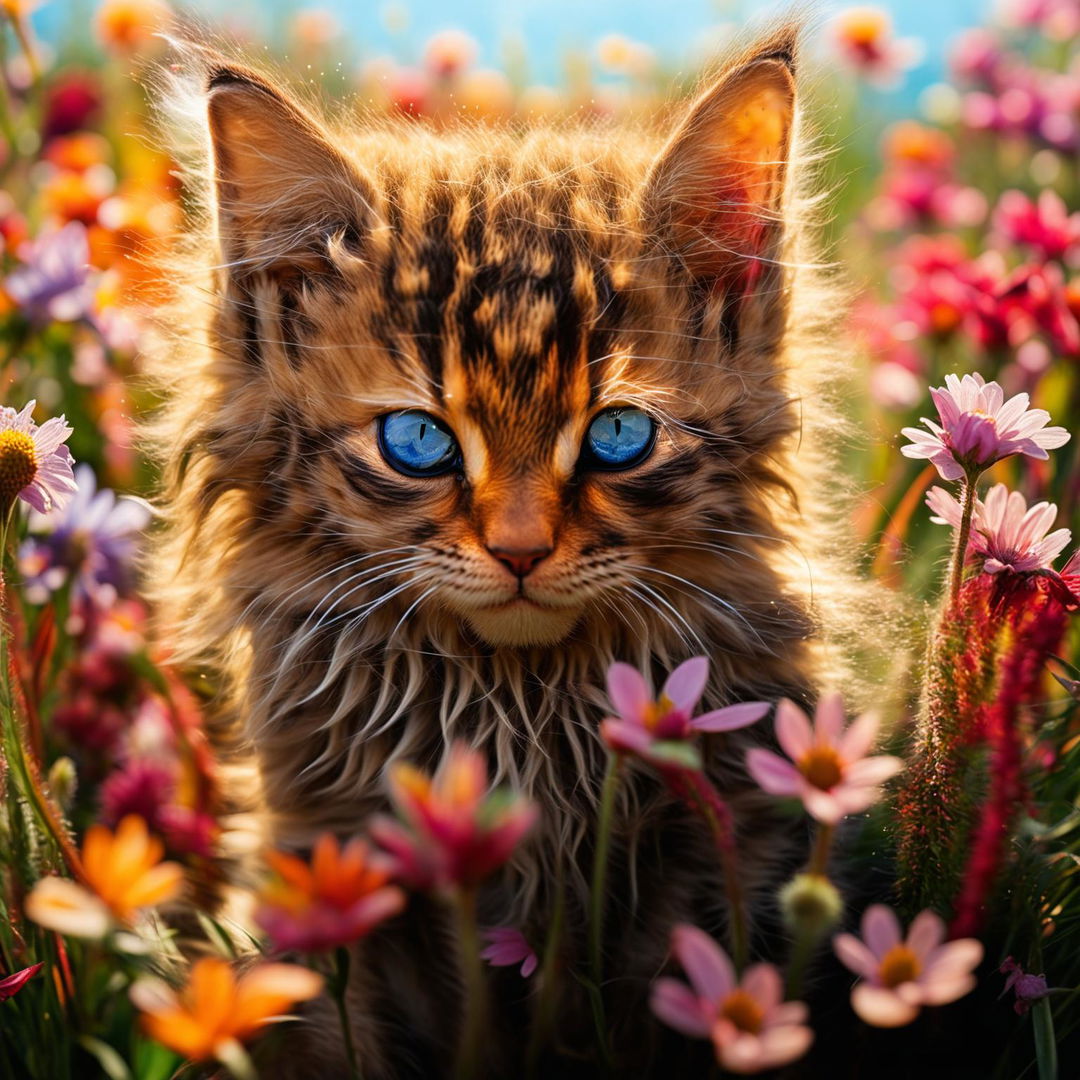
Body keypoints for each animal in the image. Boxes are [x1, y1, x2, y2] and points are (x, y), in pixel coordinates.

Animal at [147, 25, 864, 1080]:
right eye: (417, 441)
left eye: (618, 437)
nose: (521, 550)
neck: (515, 714)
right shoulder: (321, 857)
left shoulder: (722, 849)